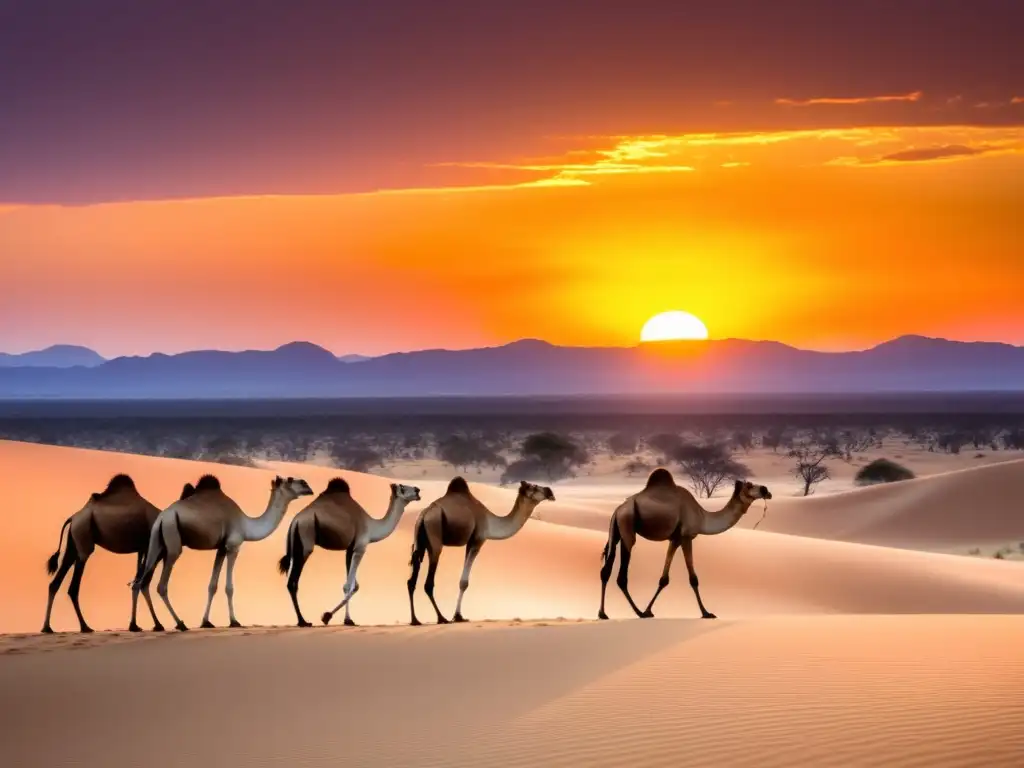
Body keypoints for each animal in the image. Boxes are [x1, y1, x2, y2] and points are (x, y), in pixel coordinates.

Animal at [41, 475, 164, 638]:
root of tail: (73, 518)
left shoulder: (141, 548)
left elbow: (137, 582)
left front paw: (135, 625)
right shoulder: (148, 546)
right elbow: (141, 582)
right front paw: (154, 624)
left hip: (72, 542)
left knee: (55, 583)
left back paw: (47, 627)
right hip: (83, 535)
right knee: (73, 587)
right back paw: (85, 626)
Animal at [136, 473, 311, 634]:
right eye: (290, 480)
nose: (307, 485)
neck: (246, 525)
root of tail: (161, 518)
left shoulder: (220, 548)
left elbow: (212, 586)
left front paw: (206, 622)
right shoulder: (233, 546)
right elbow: (229, 587)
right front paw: (234, 621)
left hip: (157, 545)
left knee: (141, 582)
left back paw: (154, 625)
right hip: (172, 540)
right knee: (161, 586)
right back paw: (180, 624)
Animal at [274, 479, 421, 626]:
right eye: (402, 487)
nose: (417, 490)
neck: (372, 527)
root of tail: (295, 522)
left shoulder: (350, 550)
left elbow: (354, 586)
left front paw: (347, 619)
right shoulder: (360, 547)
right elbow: (349, 585)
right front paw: (327, 616)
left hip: (295, 546)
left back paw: (302, 620)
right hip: (306, 539)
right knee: (292, 582)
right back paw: (303, 621)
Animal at [407, 479, 557, 626]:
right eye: (534, 487)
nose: (550, 491)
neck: (489, 521)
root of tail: (424, 516)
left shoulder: (470, 542)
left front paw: (458, 615)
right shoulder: (477, 540)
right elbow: (464, 582)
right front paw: (458, 616)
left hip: (420, 541)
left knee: (411, 579)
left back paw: (415, 620)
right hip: (435, 535)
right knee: (428, 583)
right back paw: (441, 618)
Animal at [598, 468, 770, 626]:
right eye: (749, 485)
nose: (766, 490)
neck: (702, 517)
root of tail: (618, 510)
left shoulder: (675, 539)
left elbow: (664, 579)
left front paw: (649, 610)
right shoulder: (687, 537)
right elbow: (693, 579)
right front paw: (706, 613)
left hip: (616, 531)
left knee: (606, 570)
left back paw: (603, 614)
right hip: (628, 525)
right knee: (621, 576)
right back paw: (638, 612)